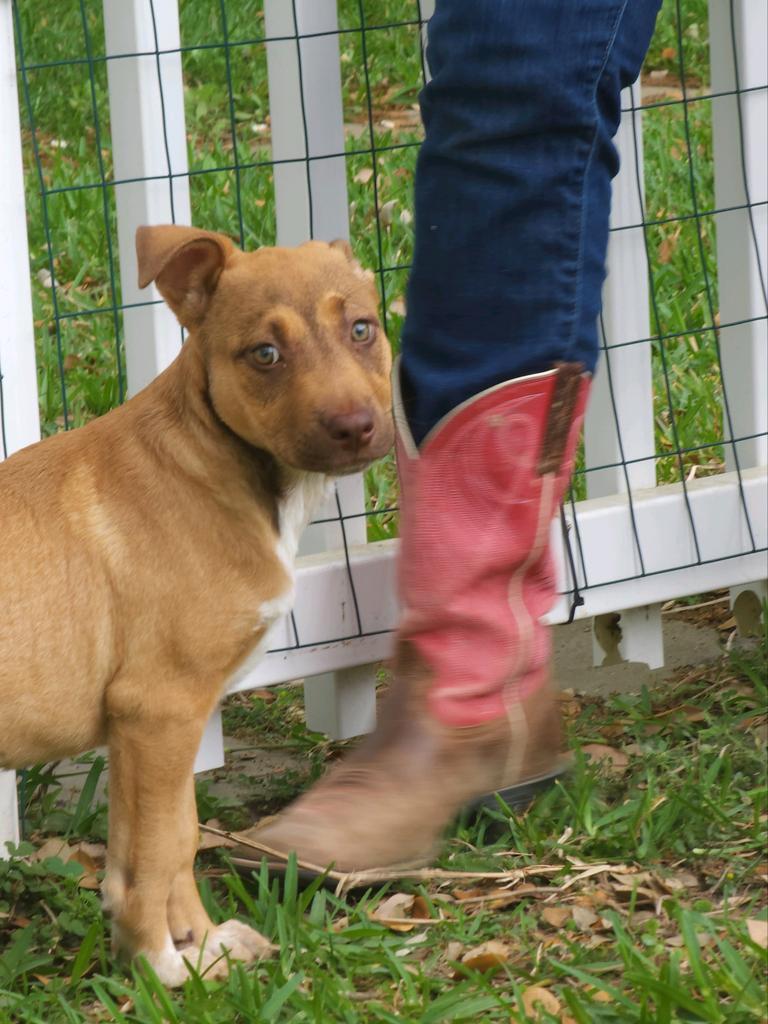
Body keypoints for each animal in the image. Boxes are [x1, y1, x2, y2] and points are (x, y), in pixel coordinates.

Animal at [0, 226, 393, 983]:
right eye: (265, 354)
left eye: (362, 329)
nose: (356, 427)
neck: (217, 459)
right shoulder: (158, 707)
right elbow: (151, 856)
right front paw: (158, 966)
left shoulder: (175, 717)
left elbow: (177, 835)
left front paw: (203, 944)